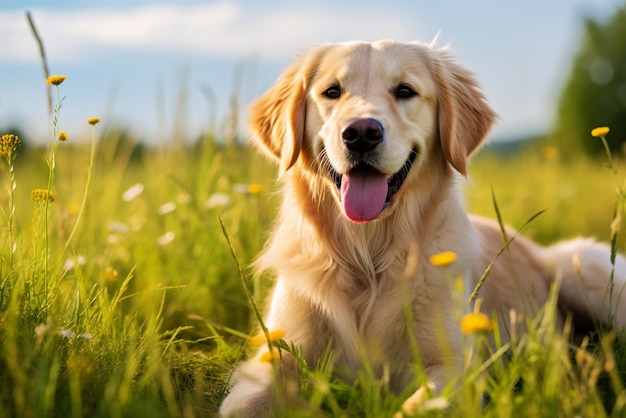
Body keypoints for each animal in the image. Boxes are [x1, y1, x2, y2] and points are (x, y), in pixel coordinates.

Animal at [218, 40, 624, 418]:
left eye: (405, 91)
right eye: (332, 91)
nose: (361, 133)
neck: (368, 259)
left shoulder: (454, 367)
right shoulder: (273, 357)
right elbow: (245, 404)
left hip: (580, 268)